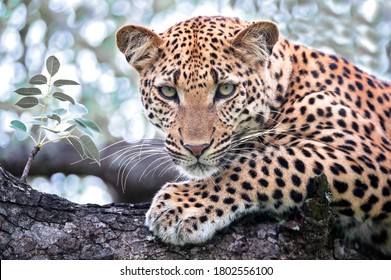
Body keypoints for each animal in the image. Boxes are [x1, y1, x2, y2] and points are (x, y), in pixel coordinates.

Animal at [115, 15, 391, 256]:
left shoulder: (369, 157)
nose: (196, 148)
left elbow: (266, 163)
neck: (286, 87)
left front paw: (182, 206)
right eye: (168, 92)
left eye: (226, 90)